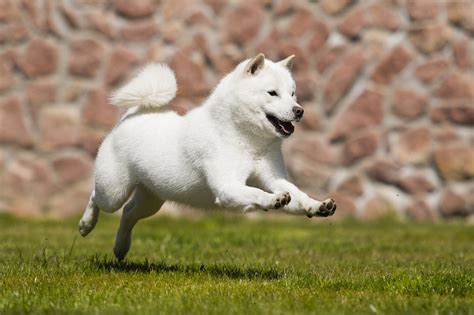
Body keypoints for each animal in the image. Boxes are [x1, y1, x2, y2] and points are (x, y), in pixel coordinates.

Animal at [78, 54, 336, 260]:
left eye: (293, 94)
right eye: (272, 93)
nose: (299, 110)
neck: (244, 139)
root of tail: (132, 114)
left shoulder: (275, 179)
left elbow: (298, 197)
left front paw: (318, 206)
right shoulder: (227, 187)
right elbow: (256, 193)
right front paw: (272, 200)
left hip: (151, 198)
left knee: (129, 214)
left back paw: (121, 247)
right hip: (114, 190)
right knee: (97, 197)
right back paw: (85, 225)